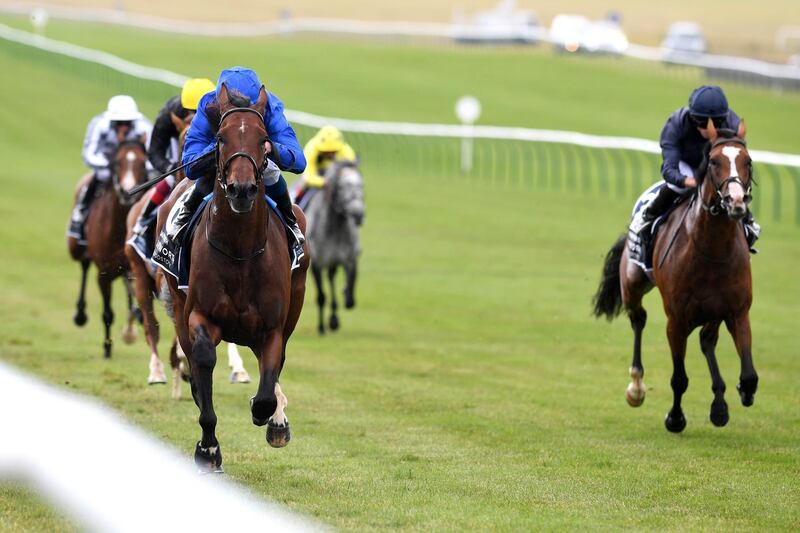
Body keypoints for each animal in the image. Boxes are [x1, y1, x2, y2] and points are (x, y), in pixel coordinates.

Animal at [68, 137, 148, 358]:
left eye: (142, 162)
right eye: (117, 162)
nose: (127, 191)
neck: (119, 225)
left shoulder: (132, 264)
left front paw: (132, 326)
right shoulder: (103, 273)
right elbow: (107, 313)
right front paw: (107, 347)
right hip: (76, 248)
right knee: (84, 265)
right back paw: (80, 314)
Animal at [156, 83, 310, 470]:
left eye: (264, 139)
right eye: (221, 139)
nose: (242, 189)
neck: (241, 252)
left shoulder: (272, 327)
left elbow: (269, 382)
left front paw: (270, 416)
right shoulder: (199, 316)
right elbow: (203, 363)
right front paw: (208, 449)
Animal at [304, 160, 368, 332]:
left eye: (361, 184)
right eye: (342, 186)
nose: (358, 214)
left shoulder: (349, 258)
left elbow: (351, 285)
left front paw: (346, 292)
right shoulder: (316, 263)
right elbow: (321, 296)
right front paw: (321, 327)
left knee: (331, 278)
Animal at [592, 120, 756, 432]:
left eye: (748, 161)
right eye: (714, 161)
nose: (736, 202)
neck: (712, 251)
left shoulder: (737, 311)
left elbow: (750, 376)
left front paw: (735, 397)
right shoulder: (676, 321)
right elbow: (679, 378)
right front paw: (675, 418)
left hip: (712, 313)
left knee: (706, 339)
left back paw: (719, 404)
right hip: (633, 284)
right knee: (638, 320)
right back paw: (636, 387)